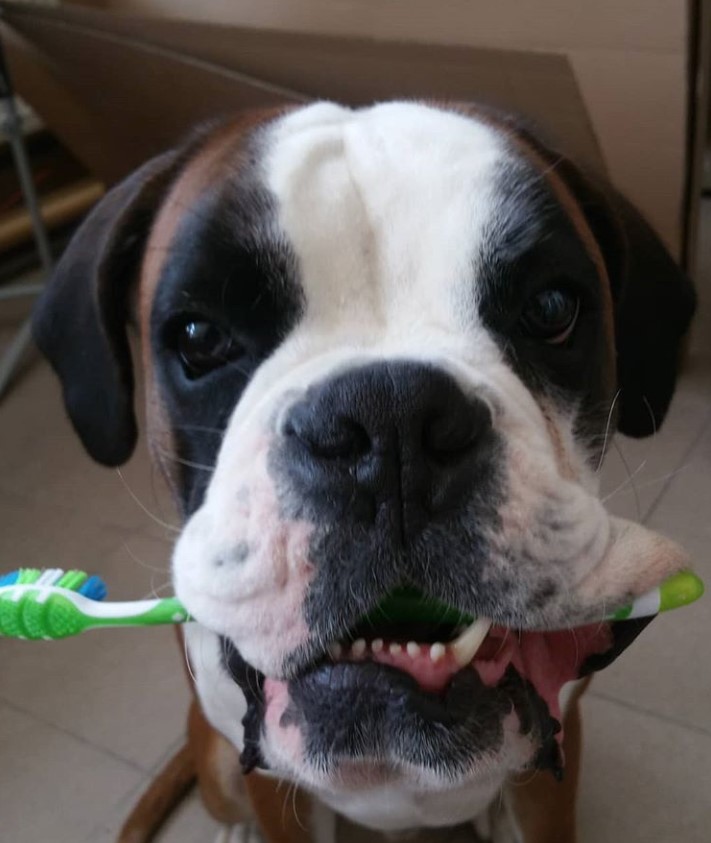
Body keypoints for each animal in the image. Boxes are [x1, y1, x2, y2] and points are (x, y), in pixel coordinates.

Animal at [32, 102, 696, 840]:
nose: (391, 418)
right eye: (199, 337)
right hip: (216, 759)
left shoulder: (547, 777)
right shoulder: (273, 791)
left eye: (551, 308)